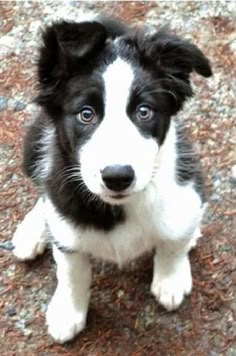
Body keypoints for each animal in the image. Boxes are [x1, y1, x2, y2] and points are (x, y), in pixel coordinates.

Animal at [12, 16, 213, 342]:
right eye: (86, 114)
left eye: (144, 111)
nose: (117, 176)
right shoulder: (67, 227)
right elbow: (71, 270)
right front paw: (68, 311)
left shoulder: (184, 197)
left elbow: (173, 243)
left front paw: (171, 278)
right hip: (33, 148)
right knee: (44, 191)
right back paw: (32, 231)